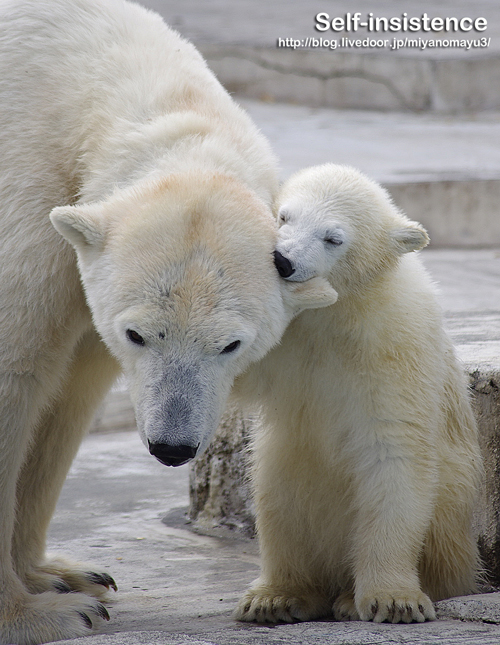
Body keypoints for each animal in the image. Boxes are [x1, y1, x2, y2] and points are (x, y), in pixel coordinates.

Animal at [0, 2, 338, 640]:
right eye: (138, 334)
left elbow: (67, 392)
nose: (173, 447)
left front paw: (64, 577)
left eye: (231, 344)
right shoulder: (26, 200)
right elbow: (17, 373)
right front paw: (42, 614)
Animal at [236, 165, 482, 624]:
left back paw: (346, 597)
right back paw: (277, 596)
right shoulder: (284, 341)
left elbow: (393, 451)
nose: (283, 261)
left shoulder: (393, 344)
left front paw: (395, 600)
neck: (334, 312)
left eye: (333, 237)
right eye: (284, 216)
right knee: (277, 496)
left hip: (454, 503)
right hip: (289, 464)